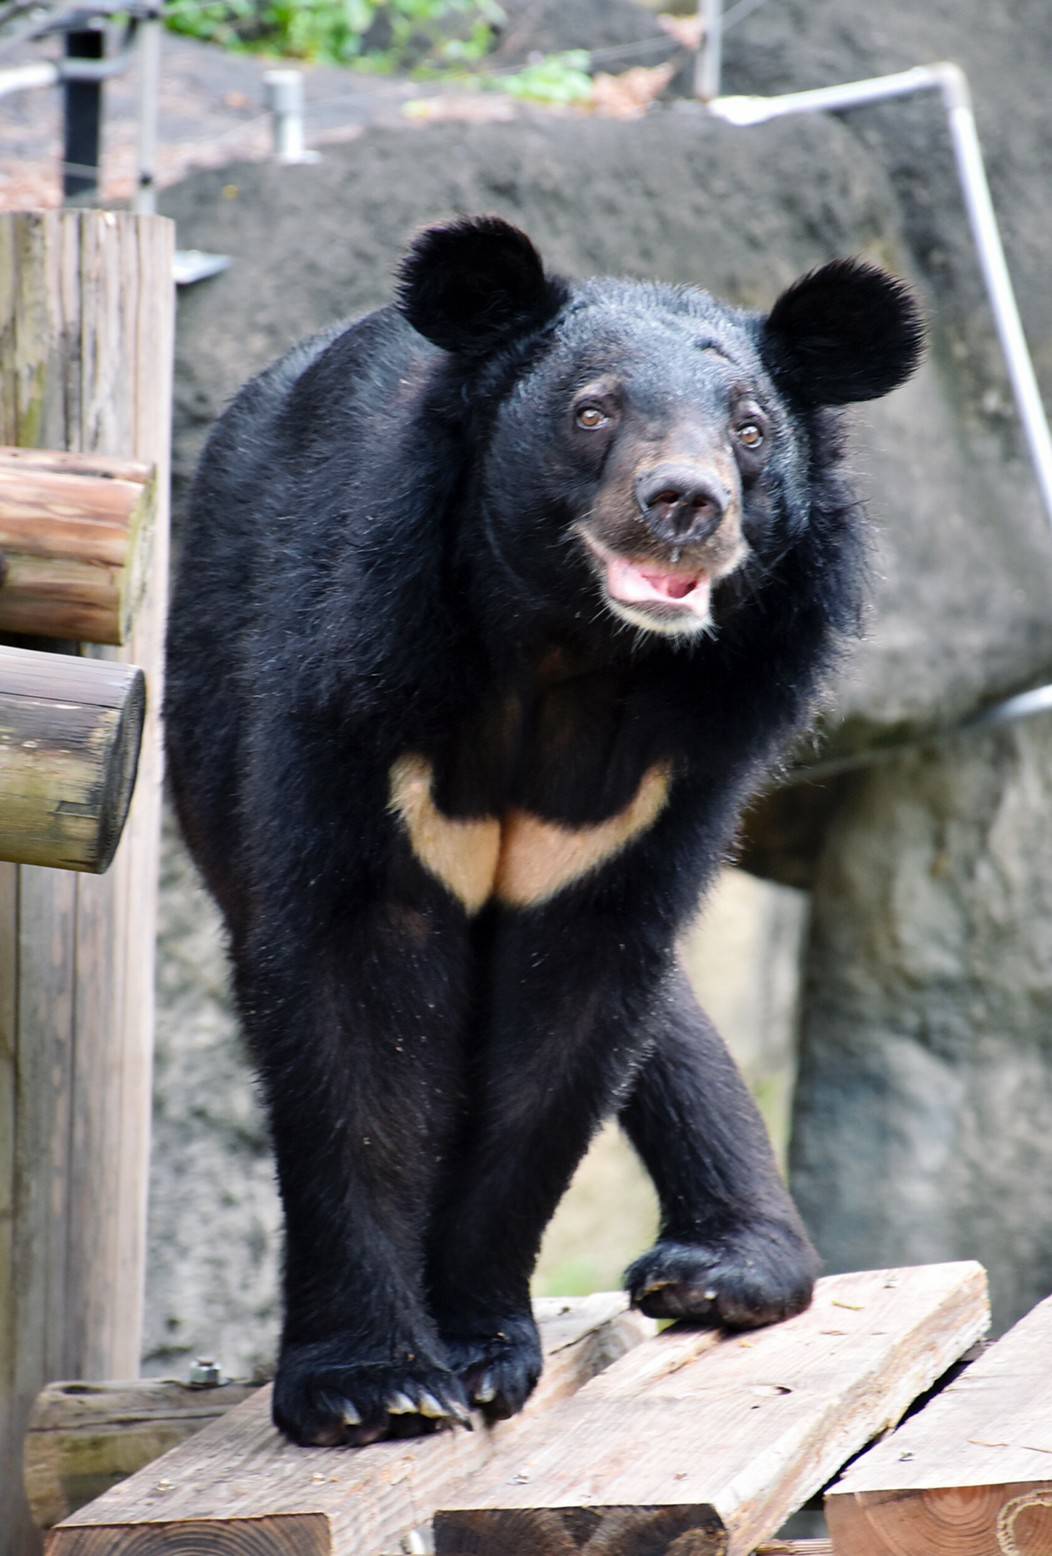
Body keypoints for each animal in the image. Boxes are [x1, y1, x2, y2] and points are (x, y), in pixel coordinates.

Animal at [164, 216, 921, 1443]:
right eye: (593, 411)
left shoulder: (677, 770)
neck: (572, 649)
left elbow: (571, 1024)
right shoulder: (353, 687)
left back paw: (728, 1268)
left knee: (662, 1010)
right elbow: (347, 998)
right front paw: (373, 1385)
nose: (686, 504)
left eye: (750, 430)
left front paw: (478, 1349)